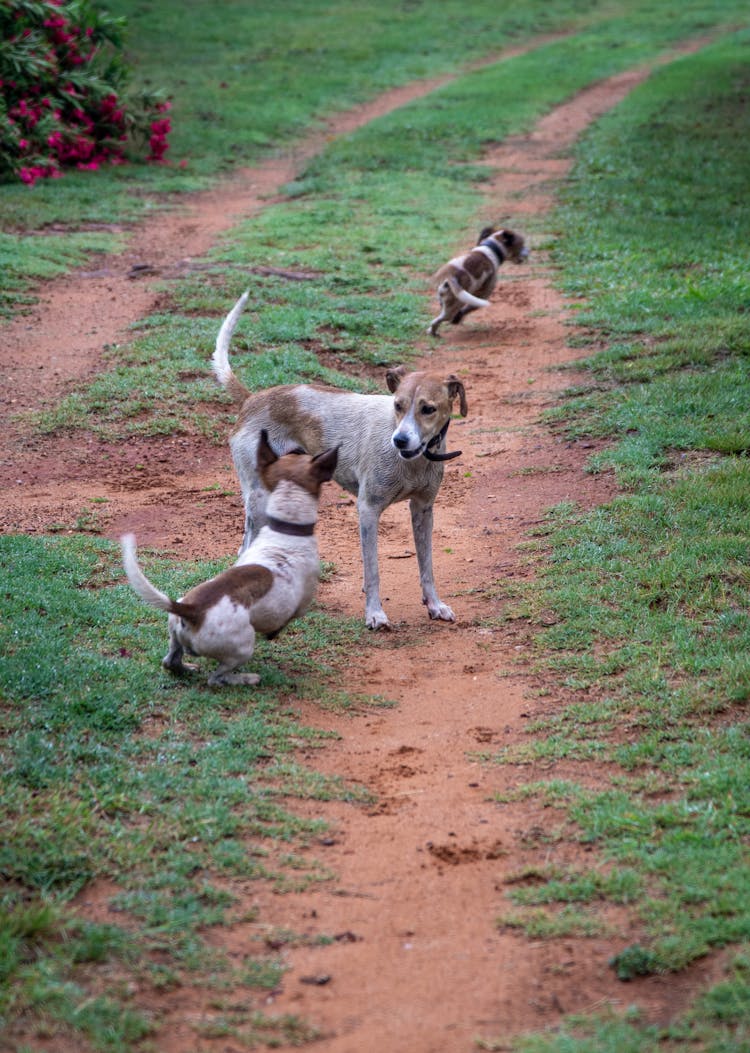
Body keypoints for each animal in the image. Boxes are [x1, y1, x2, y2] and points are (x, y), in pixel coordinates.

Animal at [120, 429, 337, 686]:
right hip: (242, 647)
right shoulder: (302, 602)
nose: (297, 447)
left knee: (170, 662)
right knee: (216, 678)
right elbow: (290, 617)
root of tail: (193, 609)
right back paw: (245, 678)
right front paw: (273, 633)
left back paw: (187, 668)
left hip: (174, 634)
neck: (285, 530)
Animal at [212, 292, 467, 627]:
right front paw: (374, 614)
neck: (414, 460)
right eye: (397, 405)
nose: (399, 440)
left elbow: (427, 567)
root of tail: (252, 399)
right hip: (258, 500)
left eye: (428, 409)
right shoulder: (368, 510)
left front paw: (434, 605)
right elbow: (372, 571)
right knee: (244, 550)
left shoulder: (423, 509)